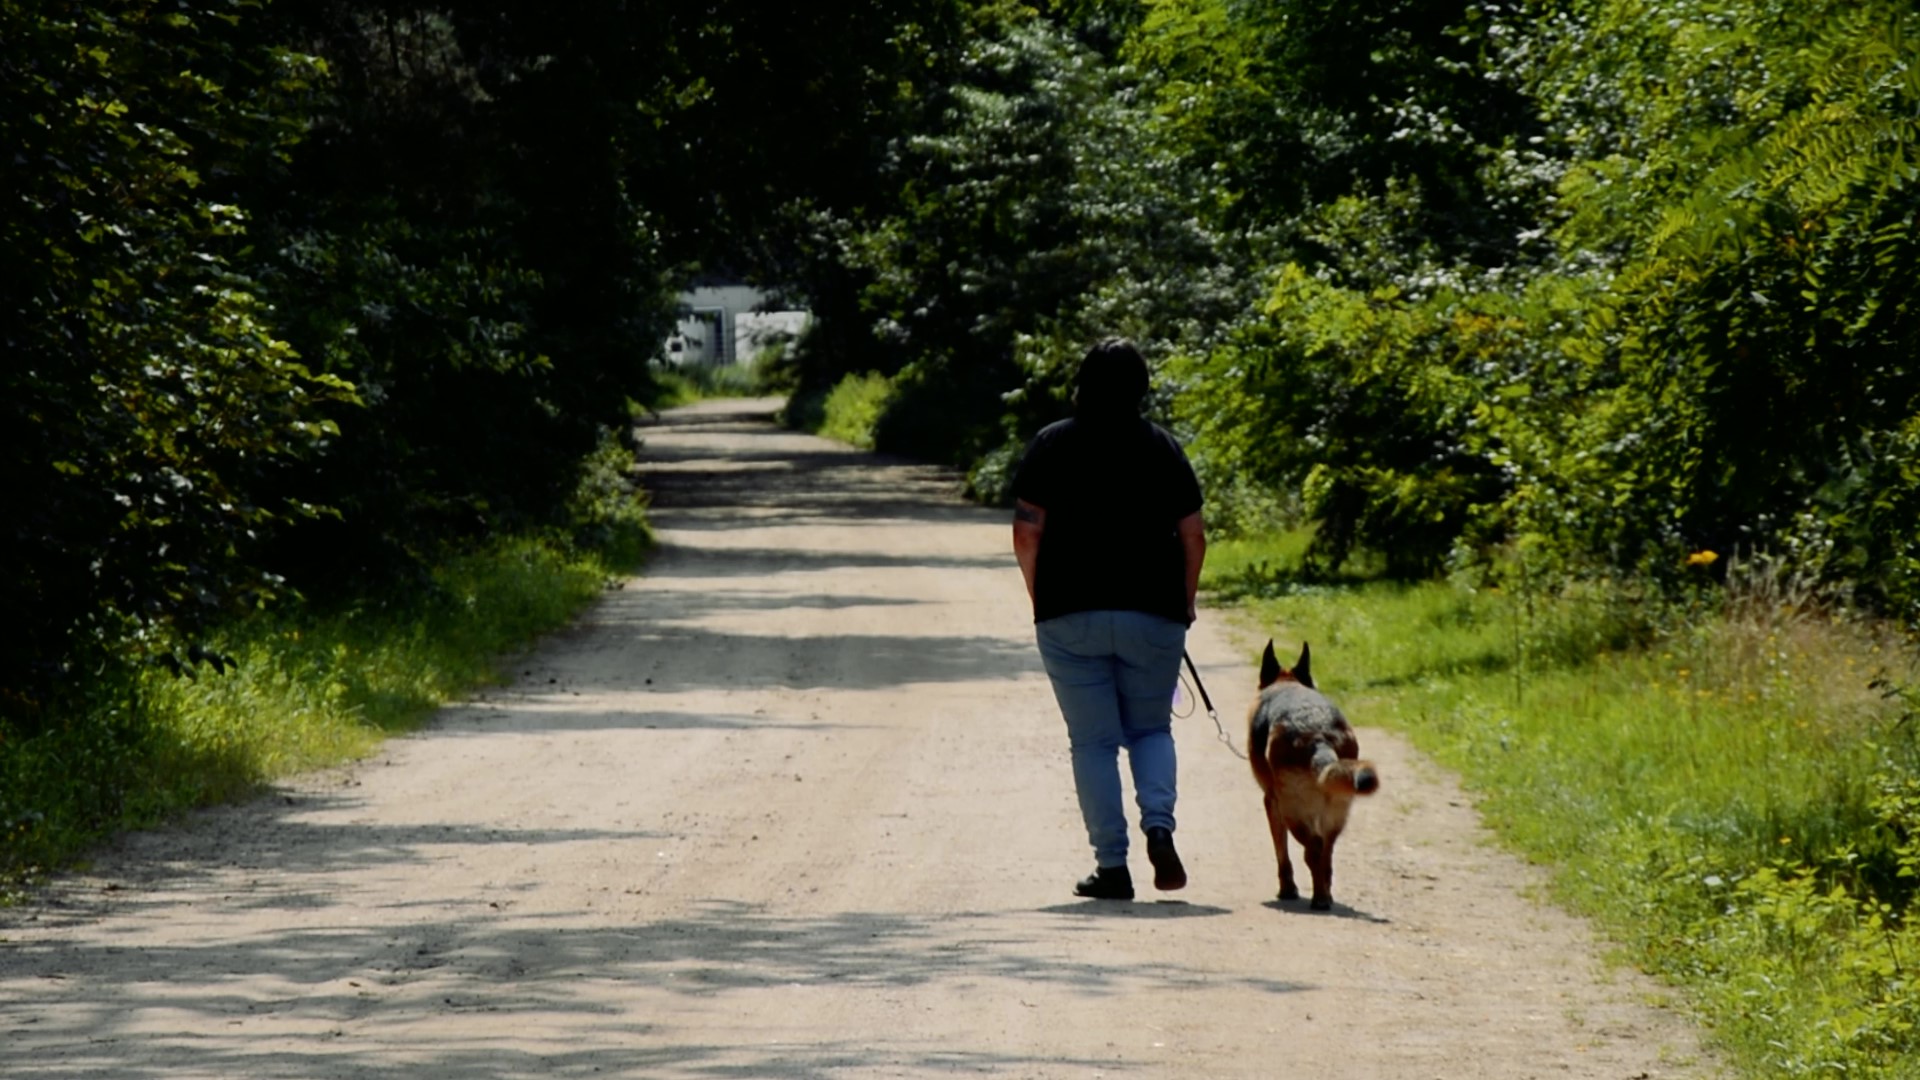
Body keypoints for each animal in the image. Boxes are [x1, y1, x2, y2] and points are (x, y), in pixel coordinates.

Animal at [1244, 641, 1382, 903]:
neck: (1287, 683)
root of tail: (1318, 736)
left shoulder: (1271, 802)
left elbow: (1282, 852)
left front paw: (1287, 889)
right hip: (1336, 809)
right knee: (1326, 852)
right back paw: (1324, 894)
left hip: (1292, 810)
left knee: (1314, 848)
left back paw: (1319, 899)